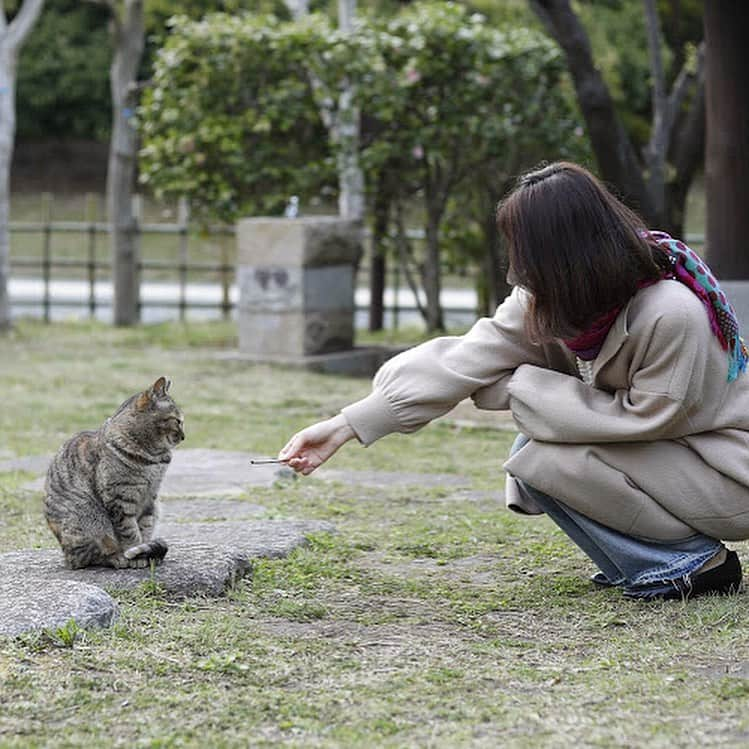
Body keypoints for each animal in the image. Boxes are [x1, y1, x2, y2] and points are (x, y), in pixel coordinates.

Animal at [43, 374, 184, 568]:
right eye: (177, 421)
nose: (184, 437)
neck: (154, 458)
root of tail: (67, 558)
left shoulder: (150, 498)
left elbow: (145, 528)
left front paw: (146, 551)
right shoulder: (119, 498)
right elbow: (130, 532)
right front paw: (137, 555)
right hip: (90, 516)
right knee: (93, 556)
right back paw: (118, 557)